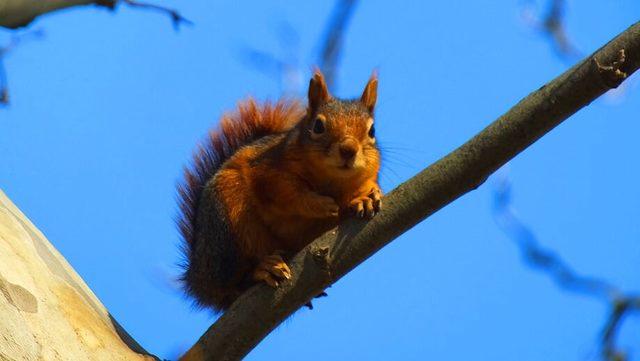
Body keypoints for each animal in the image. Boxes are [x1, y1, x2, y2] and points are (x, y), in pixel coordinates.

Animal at [176, 69, 380, 310]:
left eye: (372, 130)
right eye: (318, 126)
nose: (349, 150)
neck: (330, 181)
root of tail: (198, 278)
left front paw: (365, 198)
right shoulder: (267, 172)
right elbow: (288, 193)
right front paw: (319, 203)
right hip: (226, 226)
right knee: (232, 285)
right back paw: (264, 269)